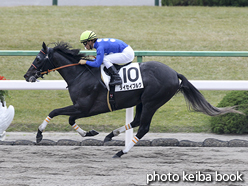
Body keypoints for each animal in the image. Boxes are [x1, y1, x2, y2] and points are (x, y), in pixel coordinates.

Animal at [24, 42, 241, 158]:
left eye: (37, 59)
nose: (27, 76)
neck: (81, 74)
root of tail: (174, 73)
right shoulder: (81, 108)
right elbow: (70, 120)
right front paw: (90, 133)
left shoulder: (85, 107)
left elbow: (55, 112)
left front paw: (39, 135)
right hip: (141, 101)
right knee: (136, 121)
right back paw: (110, 135)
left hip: (153, 101)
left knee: (143, 127)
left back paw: (121, 152)